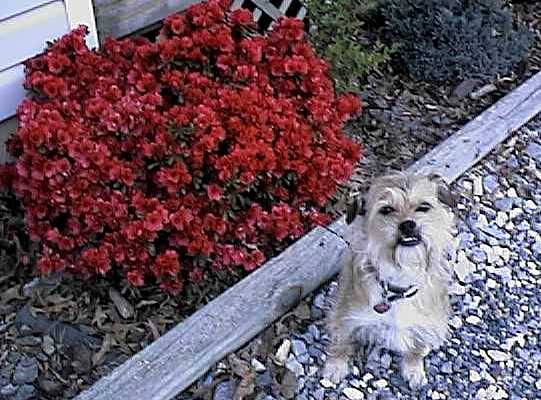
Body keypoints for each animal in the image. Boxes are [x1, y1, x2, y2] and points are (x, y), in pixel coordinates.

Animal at [320, 171, 456, 388]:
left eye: (424, 206)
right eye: (387, 209)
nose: (408, 224)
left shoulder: (429, 323)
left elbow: (417, 348)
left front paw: (414, 369)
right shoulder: (345, 315)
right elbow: (341, 341)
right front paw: (335, 366)